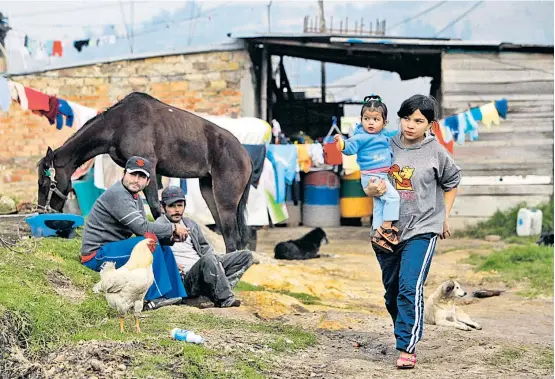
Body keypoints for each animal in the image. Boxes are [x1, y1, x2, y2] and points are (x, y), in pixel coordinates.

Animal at [38, 92, 254, 252]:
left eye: (45, 183)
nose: (42, 212)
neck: (118, 124)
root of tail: (246, 155)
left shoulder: (149, 167)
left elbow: (156, 208)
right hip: (209, 191)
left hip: (225, 198)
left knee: (233, 238)